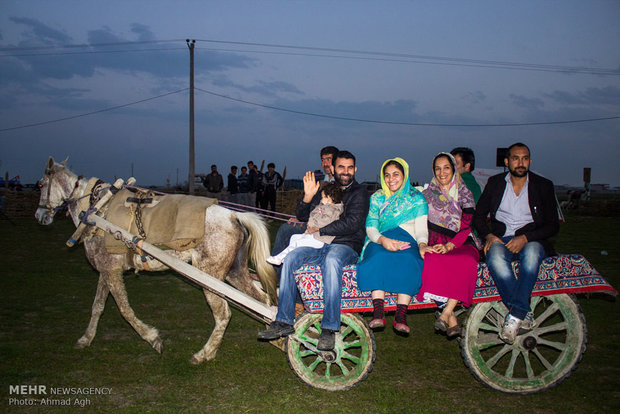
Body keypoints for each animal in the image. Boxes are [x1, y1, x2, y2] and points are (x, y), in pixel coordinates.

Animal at [34, 157, 276, 364]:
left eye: (41, 184)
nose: (39, 216)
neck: (98, 211)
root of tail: (234, 215)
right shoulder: (106, 270)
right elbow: (97, 306)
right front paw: (85, 339)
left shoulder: (111, 271)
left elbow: (124, 309)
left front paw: (153, 338)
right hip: (235, 272)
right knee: (264, 301)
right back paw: (275, 335)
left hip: (210, 275)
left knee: (224, 314)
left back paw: (204, 353)